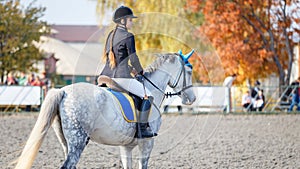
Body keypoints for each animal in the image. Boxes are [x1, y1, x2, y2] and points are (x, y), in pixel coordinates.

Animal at [15, 50, 196, 168]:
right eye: (189, 70)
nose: (192, 98)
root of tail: (63, 91)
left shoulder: (126, 146)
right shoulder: (147, 143)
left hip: (66, 142)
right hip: (78, 141)